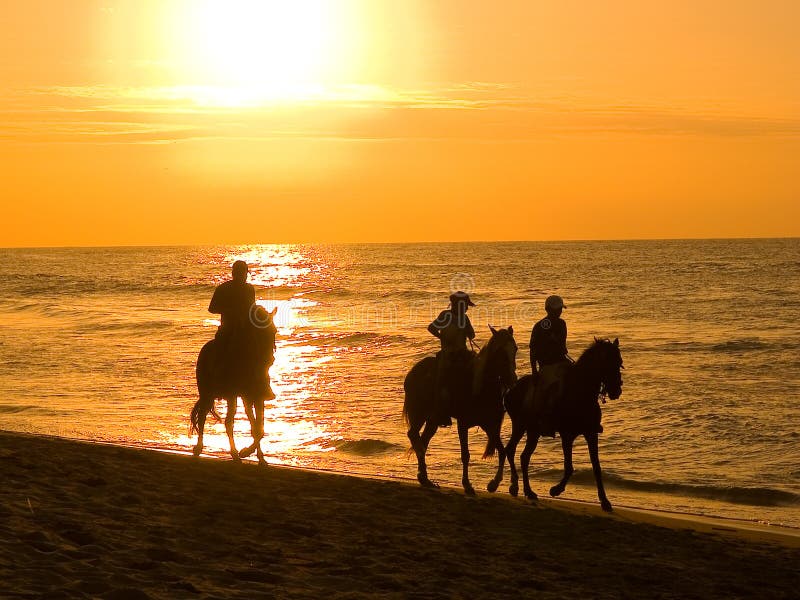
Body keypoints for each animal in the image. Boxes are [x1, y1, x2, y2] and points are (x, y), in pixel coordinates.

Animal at [190, 304, 278, 464]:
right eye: (259, 331)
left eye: (274, 331)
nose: (270, 359)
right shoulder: (242, 395)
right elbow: (253, 426)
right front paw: (245, 452)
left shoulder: (256, 396)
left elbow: (258, 427)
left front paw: (258, 456)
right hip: (209, 394)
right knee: (207, 417)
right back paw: (203, 449)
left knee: (232, 421)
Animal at [400, 326, 520, 494]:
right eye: (500, 351)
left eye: (515, 349)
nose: (512, 380)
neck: (481, 387)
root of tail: (413, 373)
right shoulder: (463, 424)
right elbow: (465, 455)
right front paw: (467, 485)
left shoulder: (490, 425)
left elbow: (503, 451)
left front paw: (496, 484)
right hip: (419, 413)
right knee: (413, 436)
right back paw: (424, 476)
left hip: (433, 419)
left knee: (423, 440)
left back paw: (425, 479)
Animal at [504, 338, 620, 510]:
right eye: (609, 363)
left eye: (620, 362)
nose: (616, 390)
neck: (580, 392)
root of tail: (511, 390)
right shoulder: (567, 435)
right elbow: (569, 467)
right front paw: (556, 490)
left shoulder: (591, 433)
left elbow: (596, 467)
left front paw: (605, 501)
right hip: (519, 425)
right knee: (511, 450)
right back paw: (514, 486)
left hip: (533, 431)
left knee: (524, 457)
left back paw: (528, 491)